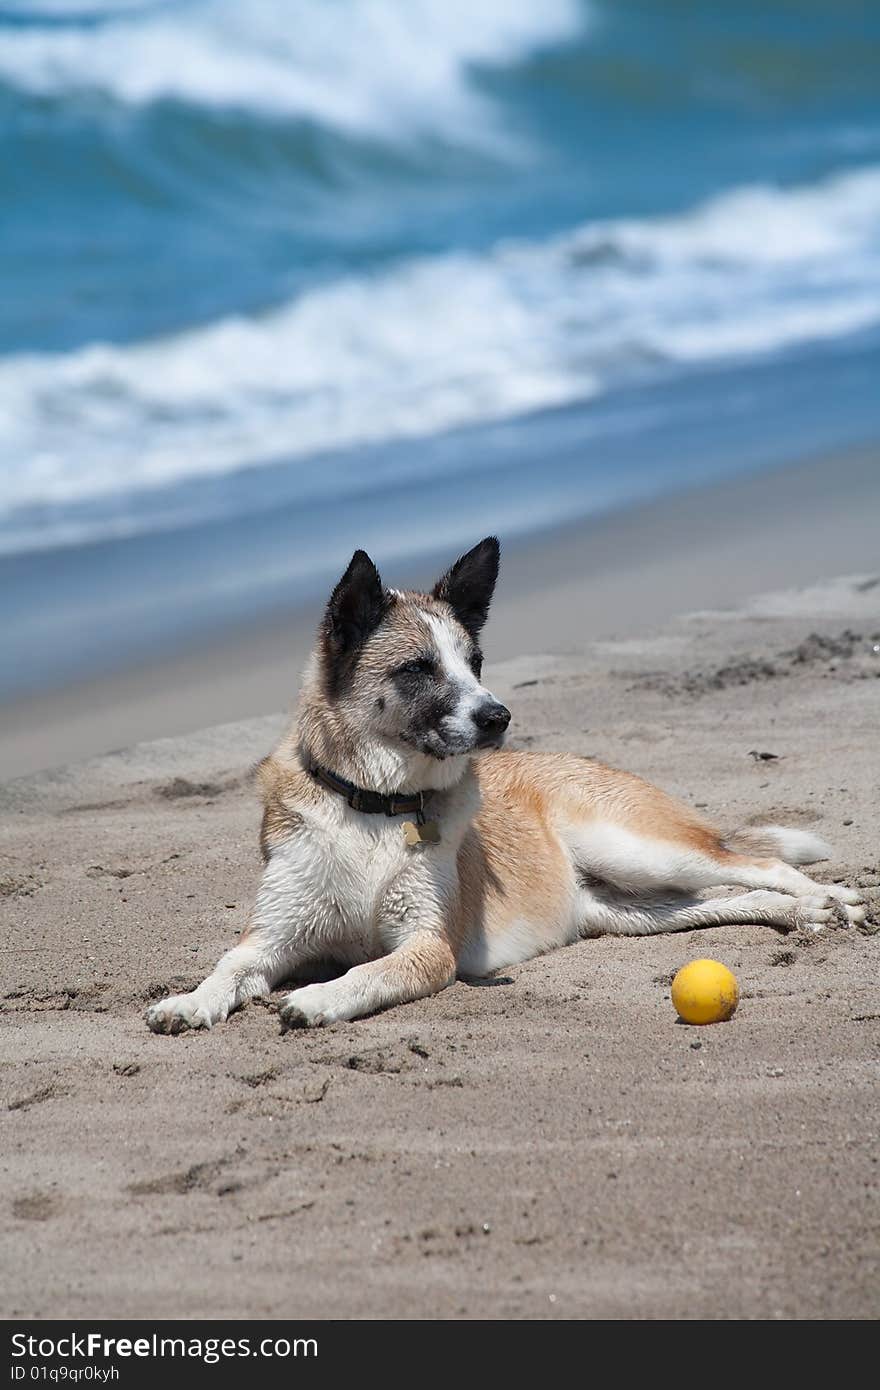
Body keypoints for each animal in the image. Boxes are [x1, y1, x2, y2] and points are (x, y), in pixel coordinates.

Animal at [145, 536, 867, 1039]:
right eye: (418, 669)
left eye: (475, 662)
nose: (498, 717)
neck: (376, 807)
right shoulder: (272, 936)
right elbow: (230, 965)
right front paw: (190, 1001)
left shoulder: (428, 947)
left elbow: (369, 970)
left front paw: (319, 996)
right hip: (628, 909)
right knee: (727, 895)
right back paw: (806, 914)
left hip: (638, 850)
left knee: (759, 864)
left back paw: (830, 900)